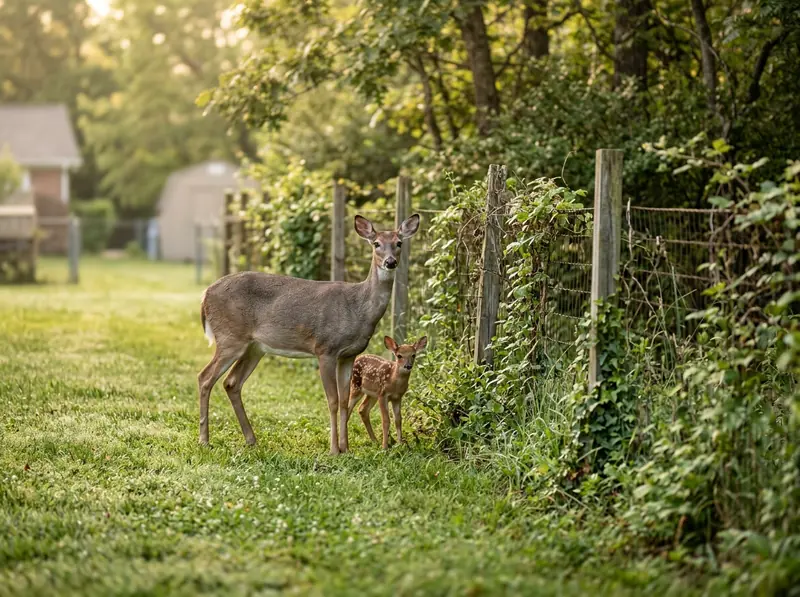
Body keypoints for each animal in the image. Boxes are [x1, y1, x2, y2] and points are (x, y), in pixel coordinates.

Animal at [197, 213, 420, 455]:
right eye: (376, 243)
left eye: (399, 243)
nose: (390, 262)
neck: (357, 309)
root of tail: (205, 294)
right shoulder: (325, 348)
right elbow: (332, 400)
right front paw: (334, 450)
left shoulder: (349, 355)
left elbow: (344, 401)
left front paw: (346, 448)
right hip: (230, 337)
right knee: (204, 377)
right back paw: (204, 440)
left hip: (254, 347)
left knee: (231, 383)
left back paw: (251, 439)